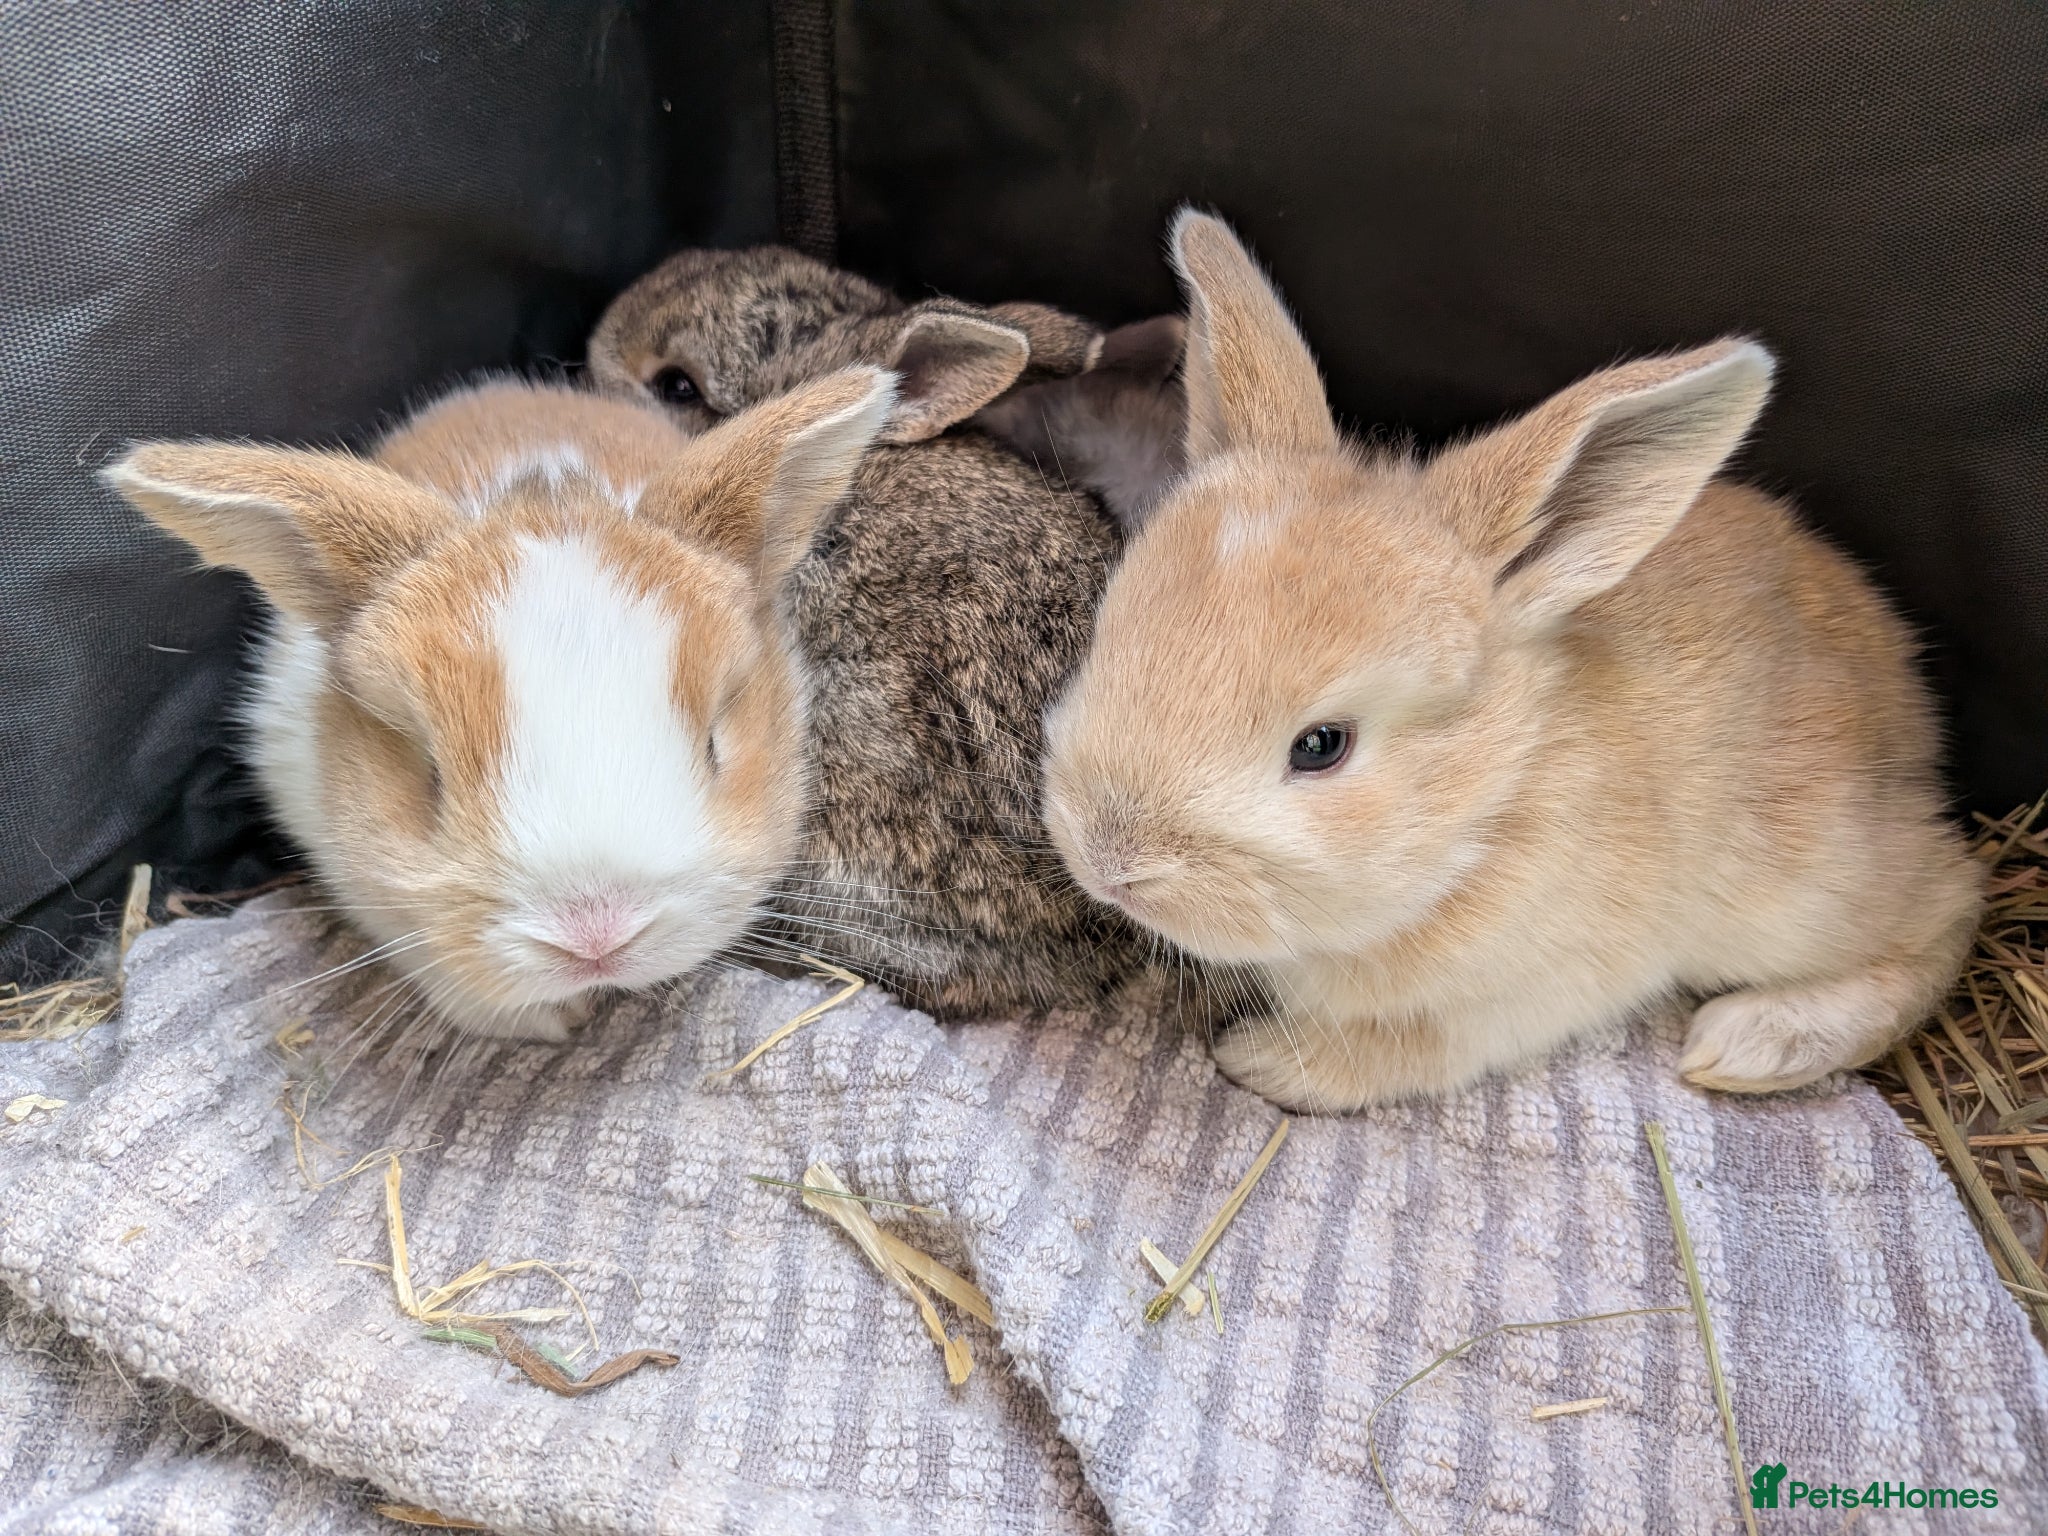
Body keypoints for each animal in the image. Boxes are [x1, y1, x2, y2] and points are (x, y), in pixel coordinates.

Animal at [1041, 210, 1983, 1111]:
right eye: (1107, 640)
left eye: (1322, 746)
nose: (1110, 864)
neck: (1492, 803)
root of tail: (1907, 693)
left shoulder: (1529, 991)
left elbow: (1413, 1046)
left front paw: (1262, 1062)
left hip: (1802, 888)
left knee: (1948, 907)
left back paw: (1752, 1045)